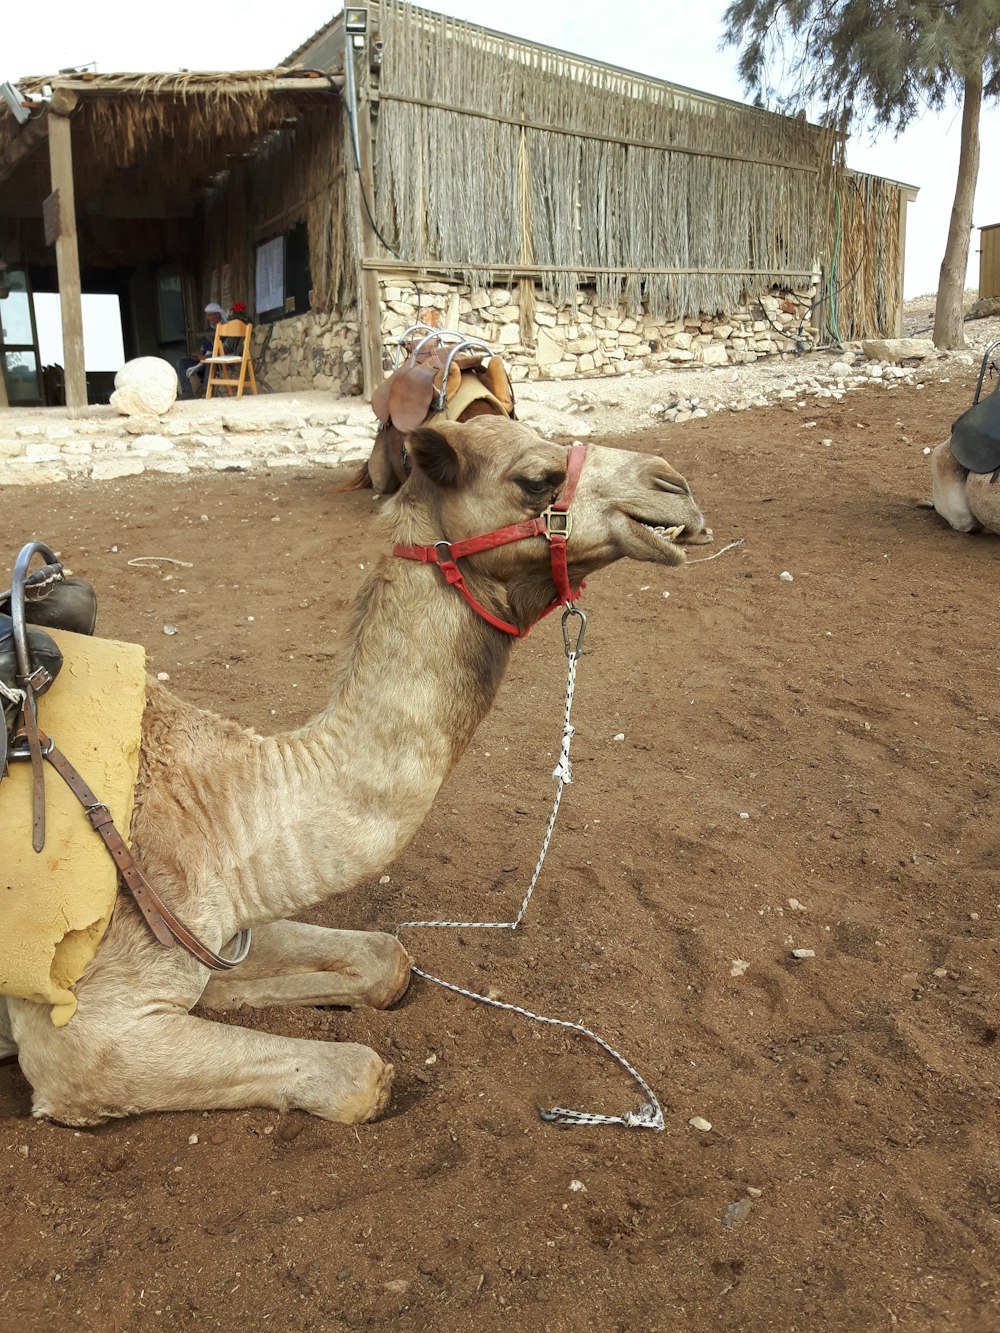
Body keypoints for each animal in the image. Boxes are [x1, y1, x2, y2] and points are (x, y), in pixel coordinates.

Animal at [3, 415, 714, 1125]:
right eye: (535, 479)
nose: (674, 487)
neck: (223, 806)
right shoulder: (85, 1040)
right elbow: (359, 1074)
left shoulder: (227, 922)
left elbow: (385, 957)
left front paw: (239, 993)